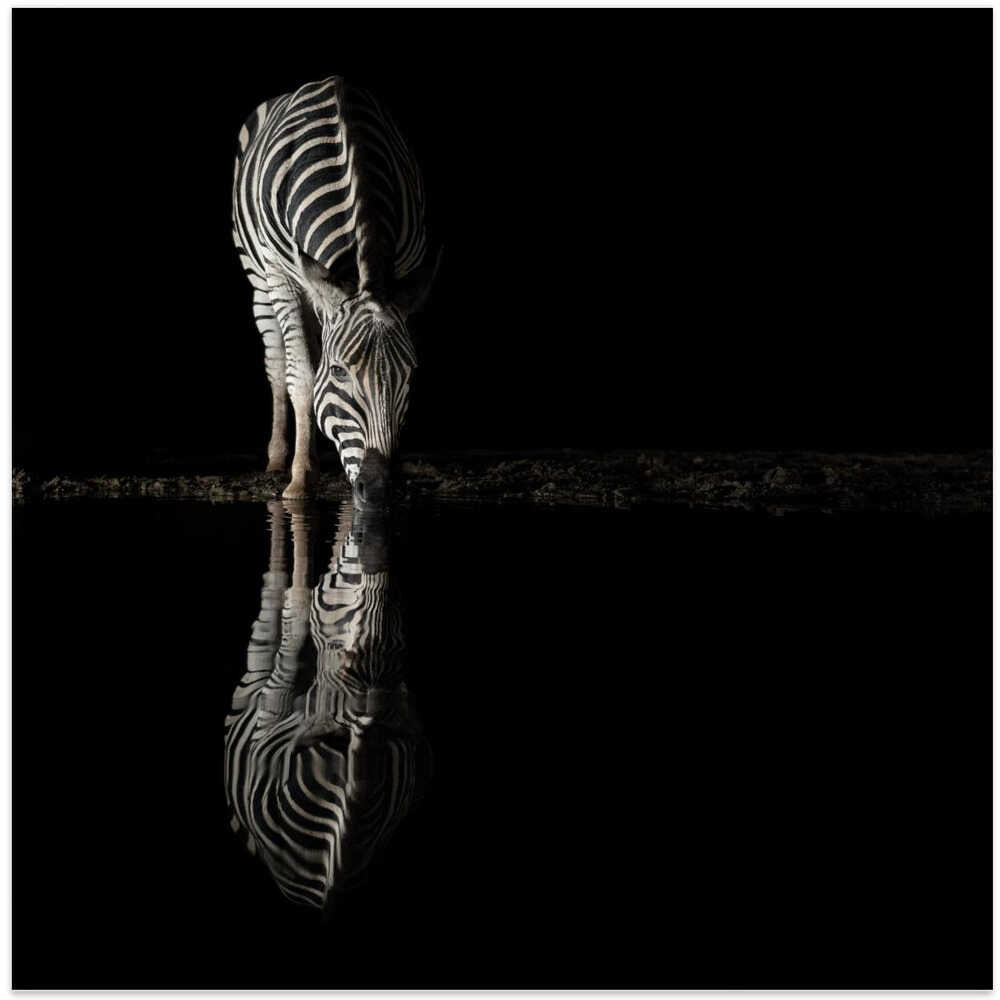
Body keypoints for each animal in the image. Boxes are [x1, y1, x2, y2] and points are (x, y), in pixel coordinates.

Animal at [232, 76, 441, 503]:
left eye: (411, 372)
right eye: (340, 372)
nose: (378, 489)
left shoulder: (406, 272)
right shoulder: (283, 278)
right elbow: (302, 376)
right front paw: (299, 480)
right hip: (259, 281)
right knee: (278, 361)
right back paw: (279, 458)